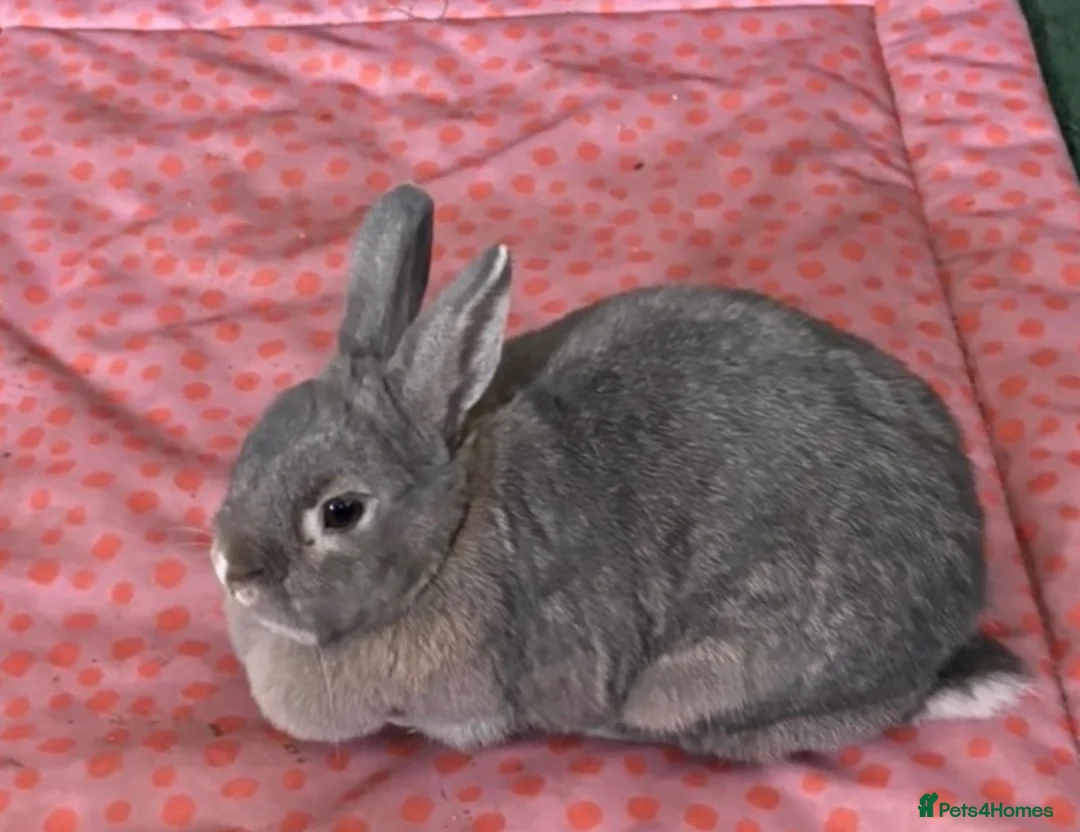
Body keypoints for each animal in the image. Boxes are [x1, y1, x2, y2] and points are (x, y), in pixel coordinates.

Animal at [211, 182, 1032, 763]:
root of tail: (947, 632)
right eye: (261, 433)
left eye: (341, 511)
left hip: (703, 685)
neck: (454, 526)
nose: (230, 568)